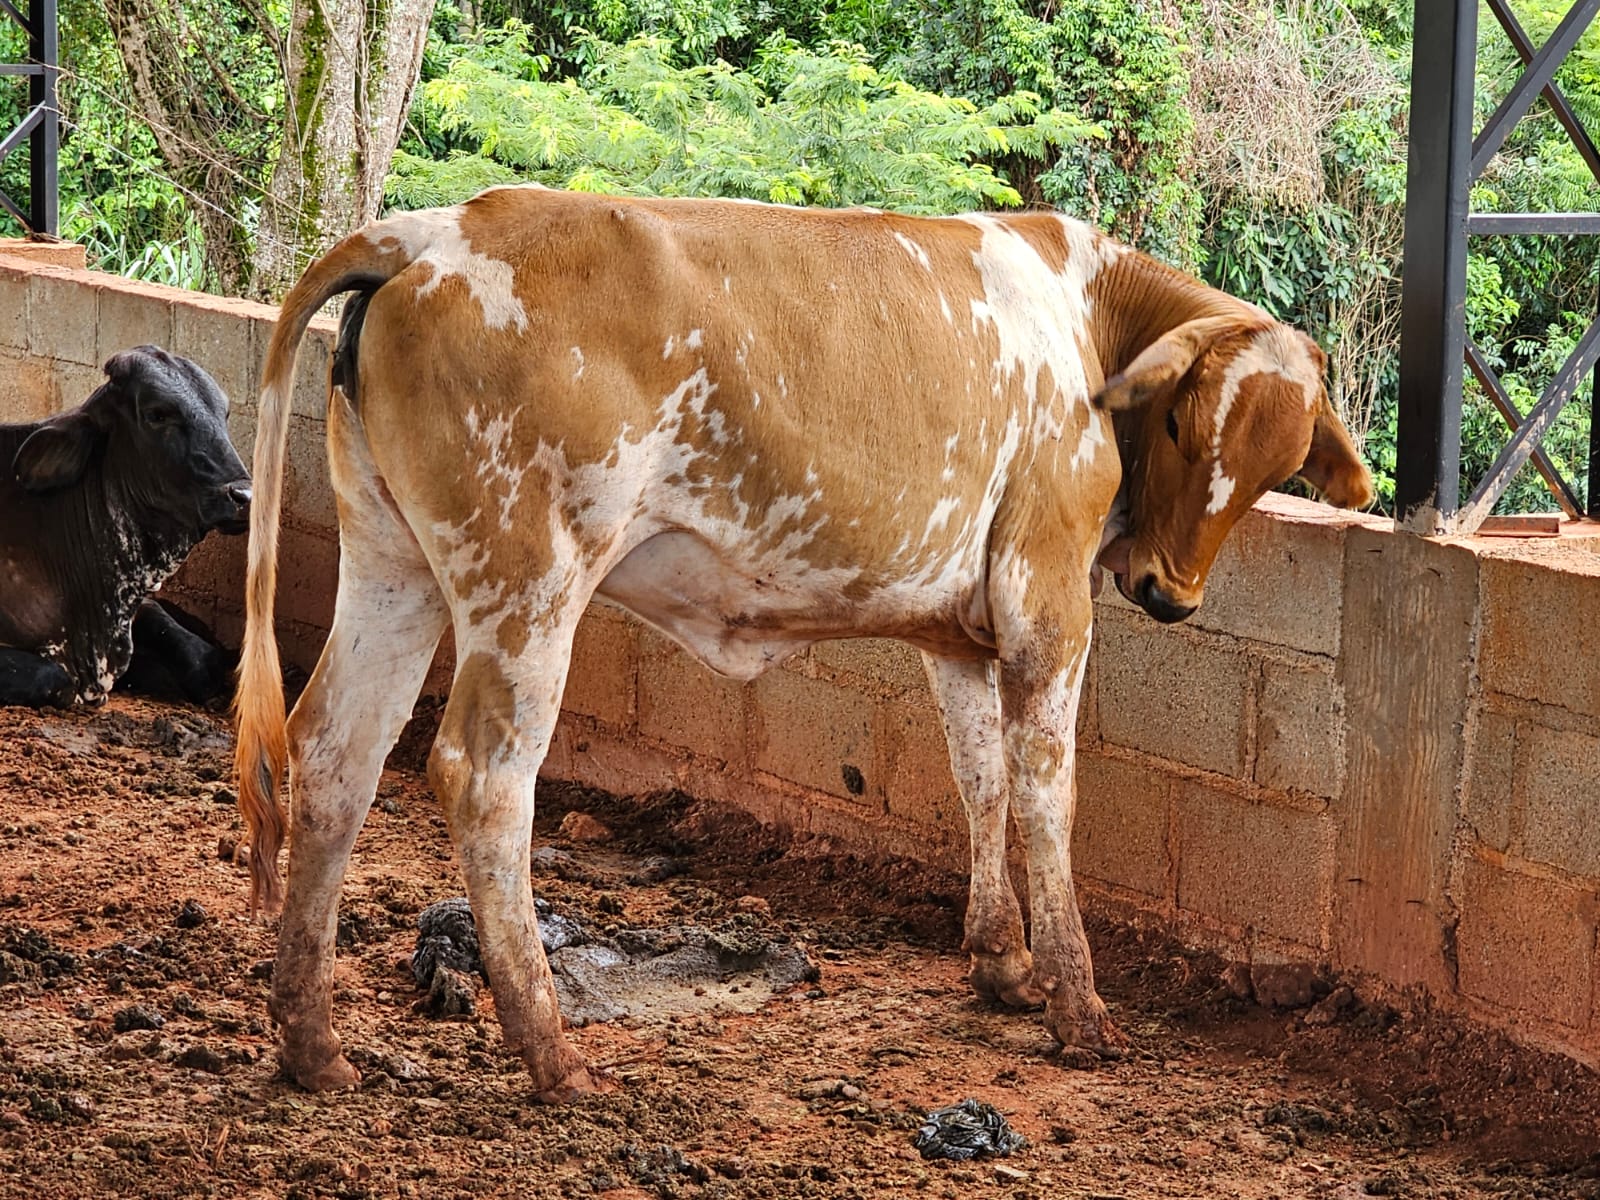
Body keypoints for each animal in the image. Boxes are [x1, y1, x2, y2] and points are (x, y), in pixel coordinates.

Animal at [232, 185, 1369, 1100]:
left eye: (1277, 468)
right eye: (1183, 426)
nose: (1168, 595)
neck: (1085, 315)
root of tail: (434, 228)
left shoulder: (958, 631)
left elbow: (981, 780)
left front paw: (999, 963)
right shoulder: (1045, 595)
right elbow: (1048, 795)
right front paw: (1077, 1007)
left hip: (394, 565)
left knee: (333, 757)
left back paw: (314, 1046)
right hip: (529, 582)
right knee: (482, 777)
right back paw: (553, 1055)